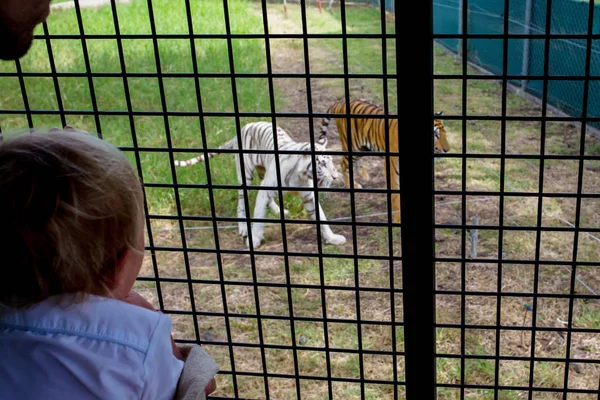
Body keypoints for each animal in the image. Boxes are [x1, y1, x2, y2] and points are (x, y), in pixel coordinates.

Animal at [173, 120, 346, 248]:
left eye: (331, 162)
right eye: (322, 164)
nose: (335, 176)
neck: (301, 174)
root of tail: (242, 129)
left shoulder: (309, 196)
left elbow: (321, 218)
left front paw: (332, 238)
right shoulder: (265, 191)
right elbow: (258, 217)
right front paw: (254, 239)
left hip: (263, 172)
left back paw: (279, 211)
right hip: (245, 176)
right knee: (241, 204)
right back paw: (243, 227)